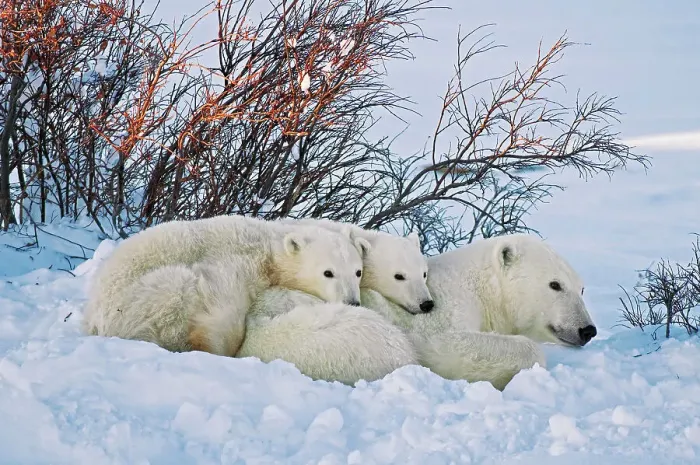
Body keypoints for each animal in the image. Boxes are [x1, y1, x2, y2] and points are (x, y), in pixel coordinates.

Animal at [81, 214, 370, 357]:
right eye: (328, 272)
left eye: (358, 271)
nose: (352, 302)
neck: (267, 250)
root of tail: (93, 318)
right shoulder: (232, 266)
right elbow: (222, 311)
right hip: (142, 298)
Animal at [235, 233, 596, 390]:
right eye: (555, 285)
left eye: (581, 288)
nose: (587, 330)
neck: (481, 289)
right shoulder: (443, 312)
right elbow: (450, 343)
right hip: (326, 335)